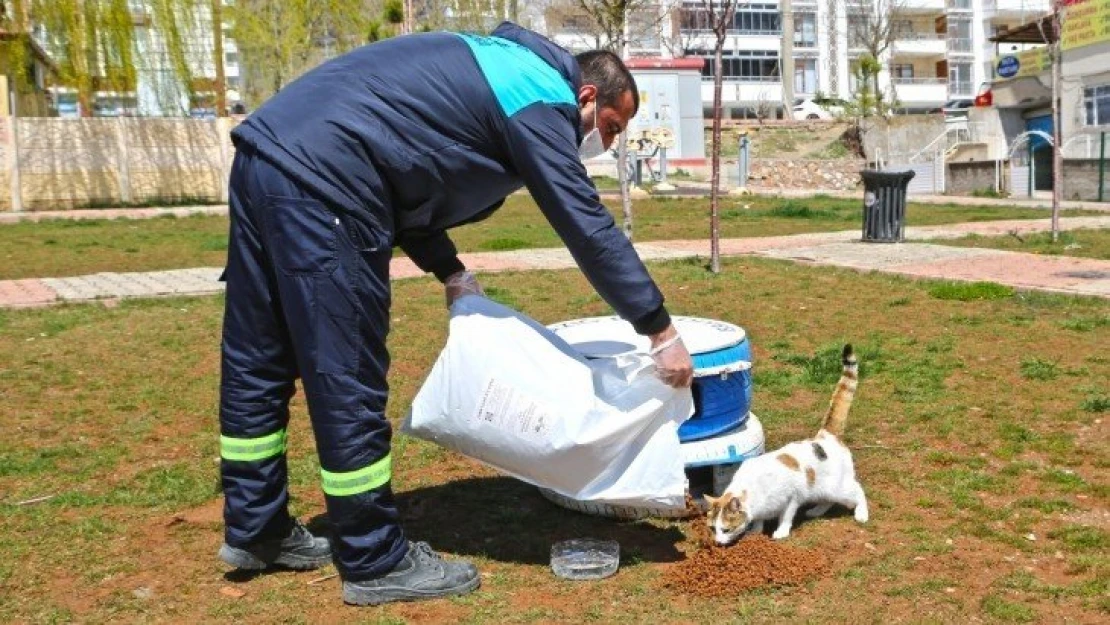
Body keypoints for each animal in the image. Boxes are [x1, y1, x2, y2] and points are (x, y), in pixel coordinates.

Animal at [705, 344, 870, 546]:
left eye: (726, 529)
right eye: (712, 528)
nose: (717, 542)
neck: (752, 491)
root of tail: (826, 435)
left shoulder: (792, 498)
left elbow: (785, 517)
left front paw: (781, 532)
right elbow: (759, 520)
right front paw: (756, 531)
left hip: (837, 488)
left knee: (858, 491)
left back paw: (861, 514)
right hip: (823, 490)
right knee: (828, 500)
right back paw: (815, 511)